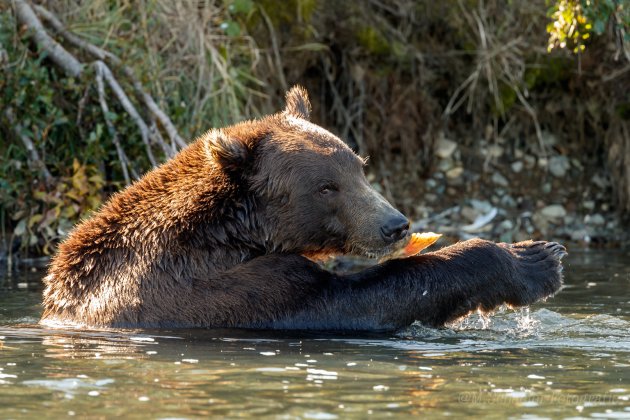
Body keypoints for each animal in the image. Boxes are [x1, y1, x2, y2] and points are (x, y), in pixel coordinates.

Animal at [43, 86, 568, 332]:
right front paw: (534, 259)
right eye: (326, 187)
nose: (394, 225)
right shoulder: (230, 291)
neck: (233, 234)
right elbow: (356, 301)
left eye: (360, 167)